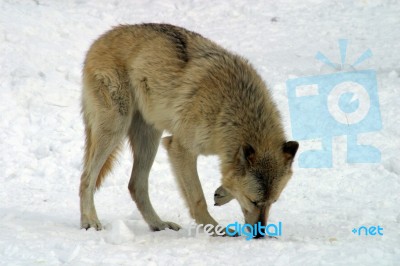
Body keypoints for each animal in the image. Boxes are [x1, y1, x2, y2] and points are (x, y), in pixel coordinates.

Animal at [79, 22, 298, 235]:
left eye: (272, 202)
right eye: (254, 201)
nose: (260, 234)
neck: (228, 110)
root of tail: (99, 40)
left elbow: (227, 179)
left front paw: (222, 192)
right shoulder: (180, 149)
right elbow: (198, 199)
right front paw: (215, 229)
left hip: (150, 138)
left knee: (135, 185)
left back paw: (159, 225)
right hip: (116, 128)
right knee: (86, 178)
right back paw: (90, 222)